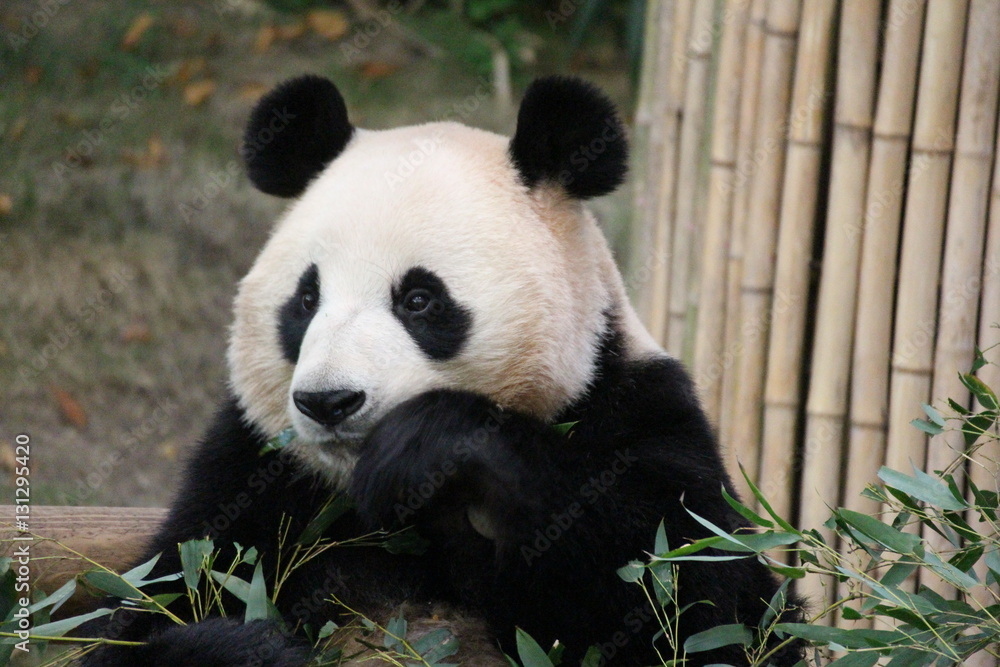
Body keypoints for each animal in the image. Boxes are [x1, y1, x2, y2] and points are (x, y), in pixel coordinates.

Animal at [81, 75, 804, 666]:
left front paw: (430, 445)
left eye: (420, 300)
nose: (329, 402)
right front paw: (249, 647)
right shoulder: (256, 475)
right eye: (306, 299)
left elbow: (699, 599)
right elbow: (153, 607)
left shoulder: (638, 409)